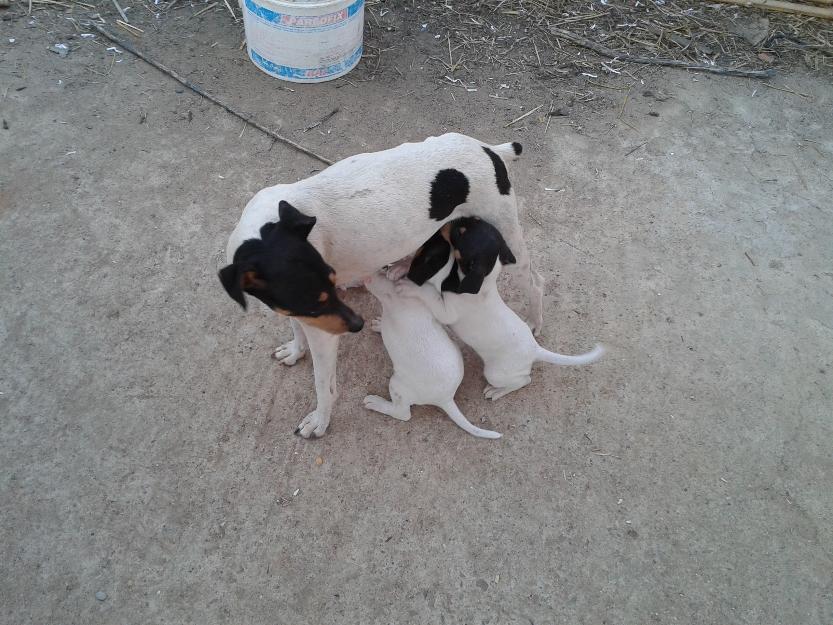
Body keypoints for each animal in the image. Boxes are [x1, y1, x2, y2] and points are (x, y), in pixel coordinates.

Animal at [360, 272, 498, 438]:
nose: (366, 277)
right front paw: (379, 325)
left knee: (403, 413)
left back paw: (376, 403)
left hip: (397, 384)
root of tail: (446, 399)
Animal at [398, 214, 604, 400]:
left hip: (495, 373)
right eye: (473, 219)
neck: (486, 281)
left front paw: (408, 287)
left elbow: (429, 294)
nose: (444, 220)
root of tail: (535, 350)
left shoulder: (448, 311)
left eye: (460, 233)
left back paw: (496, 392)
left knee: (524, 380)